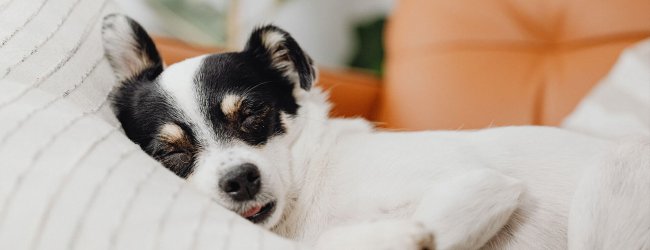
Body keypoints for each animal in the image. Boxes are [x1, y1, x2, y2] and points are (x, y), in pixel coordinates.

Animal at [100, 14, 648, 250]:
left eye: (253, 115)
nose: (240, 180)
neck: (308, 195)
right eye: (170, 151)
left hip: (614, 174)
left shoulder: (484, 184)